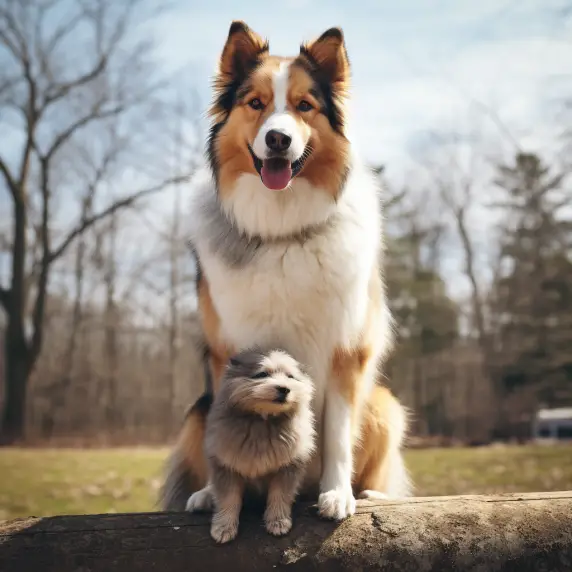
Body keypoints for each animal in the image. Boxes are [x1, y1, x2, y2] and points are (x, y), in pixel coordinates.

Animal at [161, 21, 412, 520]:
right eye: (256, 103)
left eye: (304, 106)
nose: (279, 139)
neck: (281, 229)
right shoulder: (226, 348)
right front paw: (219, 495)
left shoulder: (345, 351)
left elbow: (337, 436)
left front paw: (337, 495)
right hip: (195, 410)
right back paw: (204, 494)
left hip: (384, 404)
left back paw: (371, 494)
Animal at [187, 346, 312, 544]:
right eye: (262, 374)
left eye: (290, 377)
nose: (284, 389)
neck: (262, 421)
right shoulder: (226, 467)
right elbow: (228, 499)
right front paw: (223, 527)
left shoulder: (287, 467)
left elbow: (279, 495)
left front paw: (278, 522)